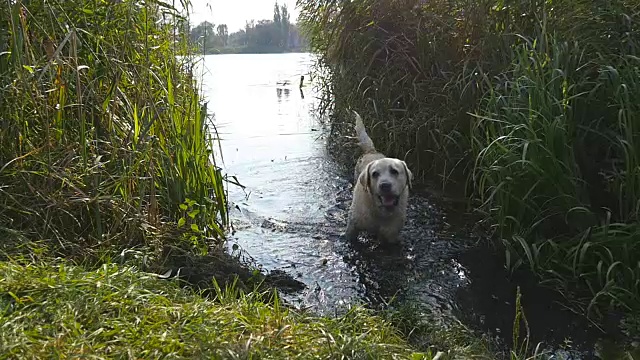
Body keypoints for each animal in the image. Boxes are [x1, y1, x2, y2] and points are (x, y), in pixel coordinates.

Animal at [348, 111, 412, 243]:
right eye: (374, 174)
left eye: (394, 171)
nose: (385, 185)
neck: (381, 212)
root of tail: (372, 150)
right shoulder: (353, 225)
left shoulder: (391, 234)